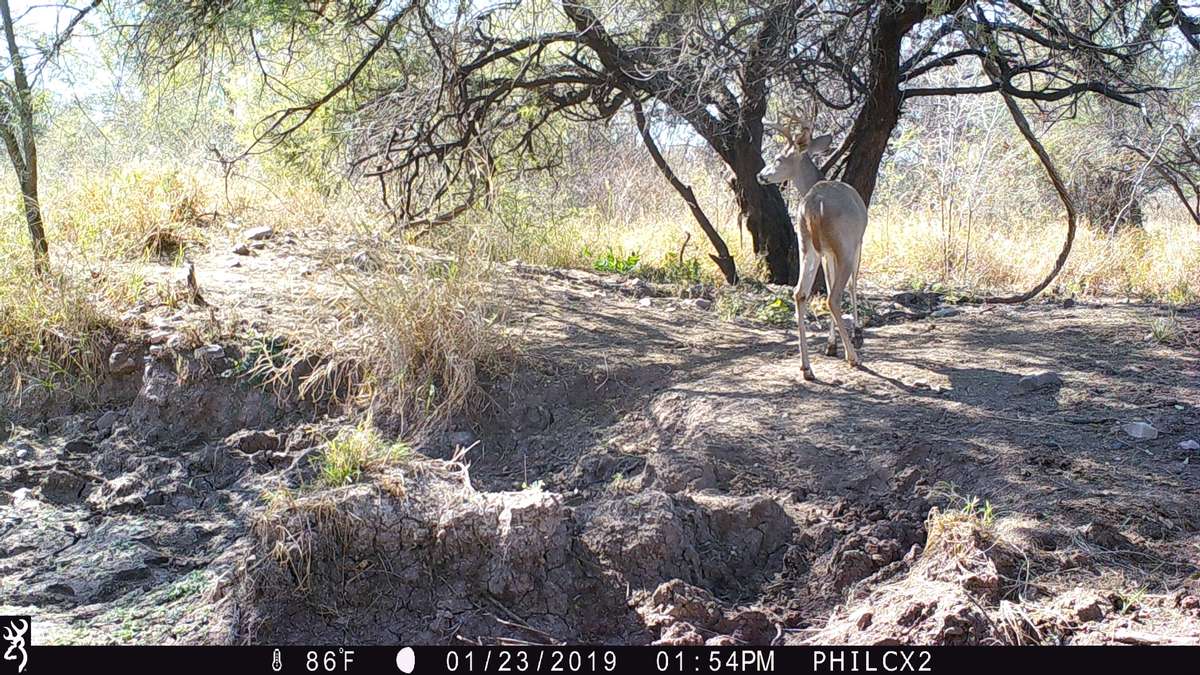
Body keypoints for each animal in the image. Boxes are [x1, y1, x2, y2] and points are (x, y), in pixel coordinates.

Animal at [757, 104, 868, 381]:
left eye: (778, 158)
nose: (760, 175)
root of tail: (814, 205)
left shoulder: (826, 252)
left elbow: (827, 283)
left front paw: (831, 344)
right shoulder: (858, 242)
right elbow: (853, 284)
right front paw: (855, 333)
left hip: (807, 244)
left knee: (800, 292)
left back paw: (807, 367)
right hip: (844, 245)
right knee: (834, 296)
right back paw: (853, 357)